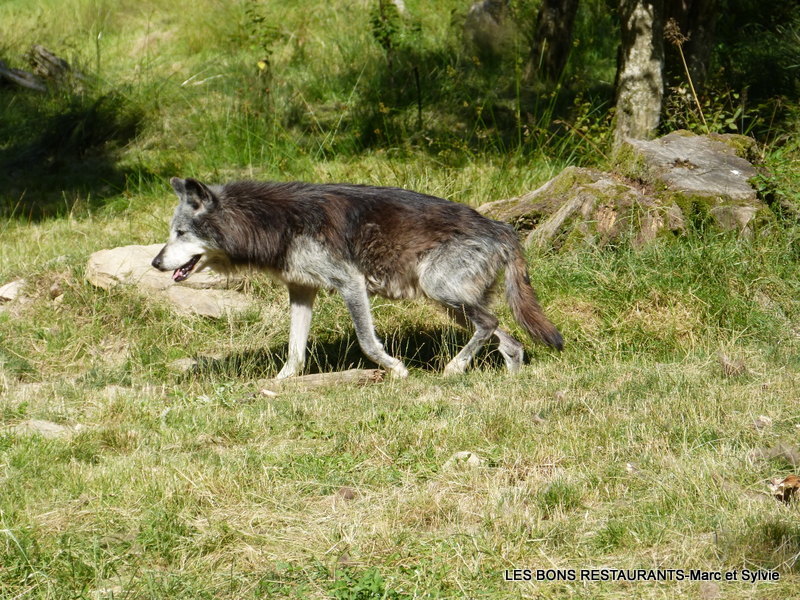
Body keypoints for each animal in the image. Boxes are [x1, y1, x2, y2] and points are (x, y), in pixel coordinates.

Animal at [151, 177, 563, 378]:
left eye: (181, 233)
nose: (155, 262)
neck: (273, 222)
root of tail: (502, 228)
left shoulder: (351, 283)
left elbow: (367, 342)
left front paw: (397, 370)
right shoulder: (302, 290)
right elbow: (295, 351)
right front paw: (279, 384)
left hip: (440, 293)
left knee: (490, 323)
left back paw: (453, 368)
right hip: (452, 305)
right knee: (508, 339)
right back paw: (510, 378)